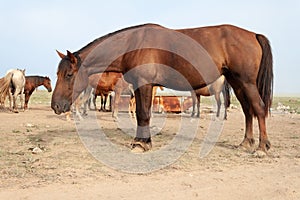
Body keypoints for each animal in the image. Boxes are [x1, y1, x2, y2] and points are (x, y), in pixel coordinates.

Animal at [52, 24, 274, 154]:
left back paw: (262, 147)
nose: (56, 106)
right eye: (57, 74)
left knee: (259, 108)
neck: (134, 44)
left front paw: (140, 143)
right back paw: (246, 142)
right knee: (248, 111)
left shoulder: (144, 83)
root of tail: (254, 35)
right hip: (237, 83)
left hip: (246, 82)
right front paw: (144, 141)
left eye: (69, 75)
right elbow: (142, 113)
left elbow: (143, 114)